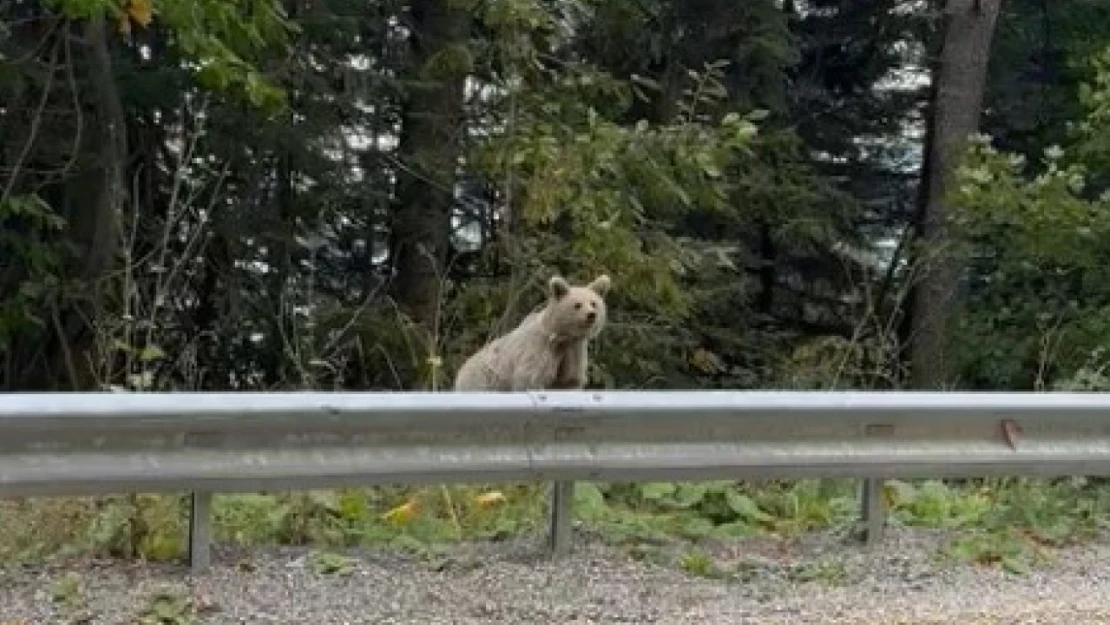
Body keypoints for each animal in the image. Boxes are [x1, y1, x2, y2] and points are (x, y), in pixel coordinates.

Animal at [450, 275, 612, 390]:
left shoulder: (573, 351)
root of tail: (459, 374)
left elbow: (569, 381)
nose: (591, 315)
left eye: (594, 303)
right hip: (484, 380)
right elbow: (529, 378)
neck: (562, 336)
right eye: (577, 305)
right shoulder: (540, 350)